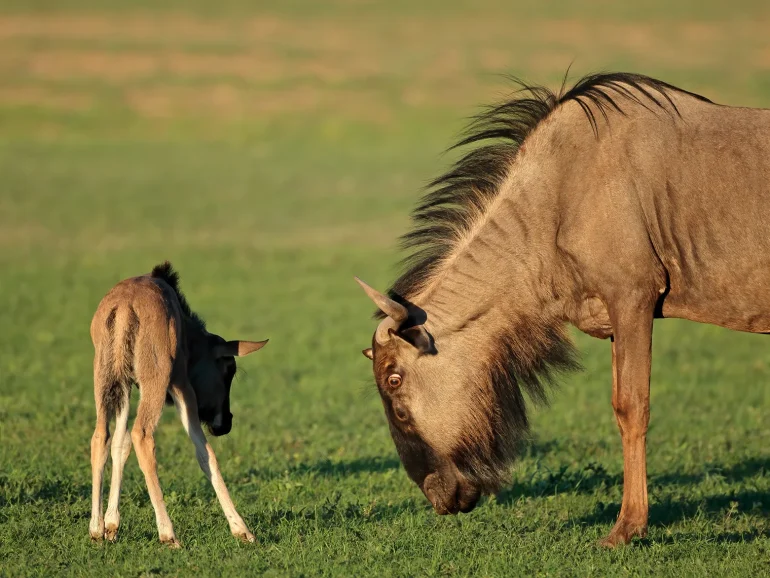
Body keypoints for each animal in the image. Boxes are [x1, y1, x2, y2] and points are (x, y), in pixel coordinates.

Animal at [88, 260, 264, 544]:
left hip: (106, 380)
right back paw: (167, 533)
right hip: (156, 381)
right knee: (142, 435)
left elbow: (120, 445)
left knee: (101, 437)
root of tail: (125, 306)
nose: (225, 423)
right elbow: (205, 454)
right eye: (229, 369)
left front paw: (111, 525)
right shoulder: (181, 383)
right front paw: (241, 529)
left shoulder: (127, 386)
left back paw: (95, 528)